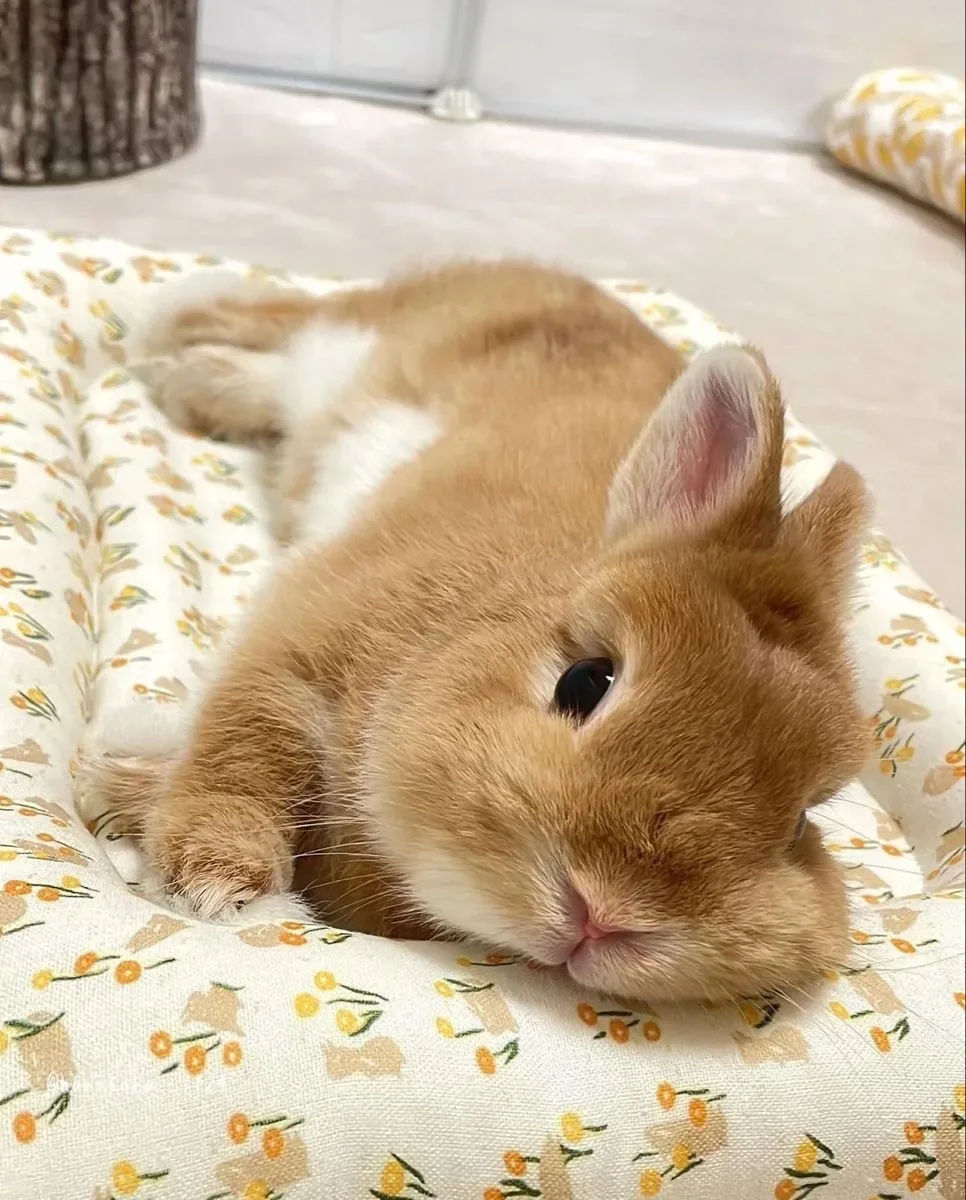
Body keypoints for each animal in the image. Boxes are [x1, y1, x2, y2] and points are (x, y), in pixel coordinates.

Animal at [80, 261, 871, 1004]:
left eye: (801, 822)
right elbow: (244, 743)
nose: (607, 914)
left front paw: (128, 778)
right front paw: (216, 884)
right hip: (374, 328)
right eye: (584, 681)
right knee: (274, 316)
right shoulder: (302, 630)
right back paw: (164, 331)